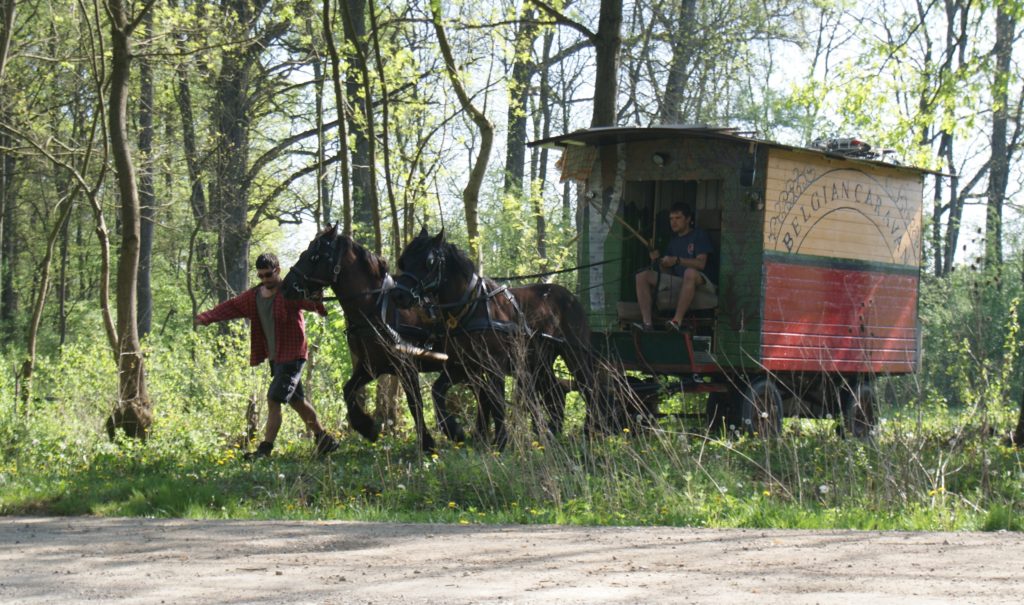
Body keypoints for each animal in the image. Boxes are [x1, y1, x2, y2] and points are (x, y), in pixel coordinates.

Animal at [387, 229, 602, 448]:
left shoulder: (495, 364)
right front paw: (454, 431)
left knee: (589, 387)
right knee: (556, 393)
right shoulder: (464, 366)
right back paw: (551, 433)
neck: (471, 308)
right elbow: (440, 391)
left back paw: (590, 431)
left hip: (573, 353)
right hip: (540, 362)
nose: (398, 296)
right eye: (403, 261)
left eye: (429, 262)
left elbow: (496, 402)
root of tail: (570, 297)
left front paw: (500, 442)